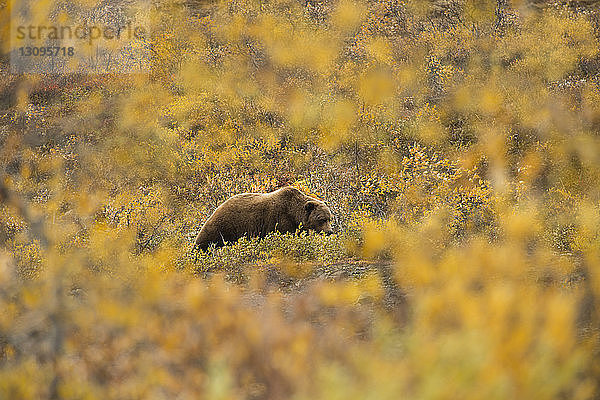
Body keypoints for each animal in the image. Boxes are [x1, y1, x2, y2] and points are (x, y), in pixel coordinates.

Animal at [195, 185, 332, 248]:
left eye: (330, 218)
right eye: (321, 219)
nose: (330, 231)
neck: (295, 214)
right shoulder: (280, 219)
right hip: (224, 226)